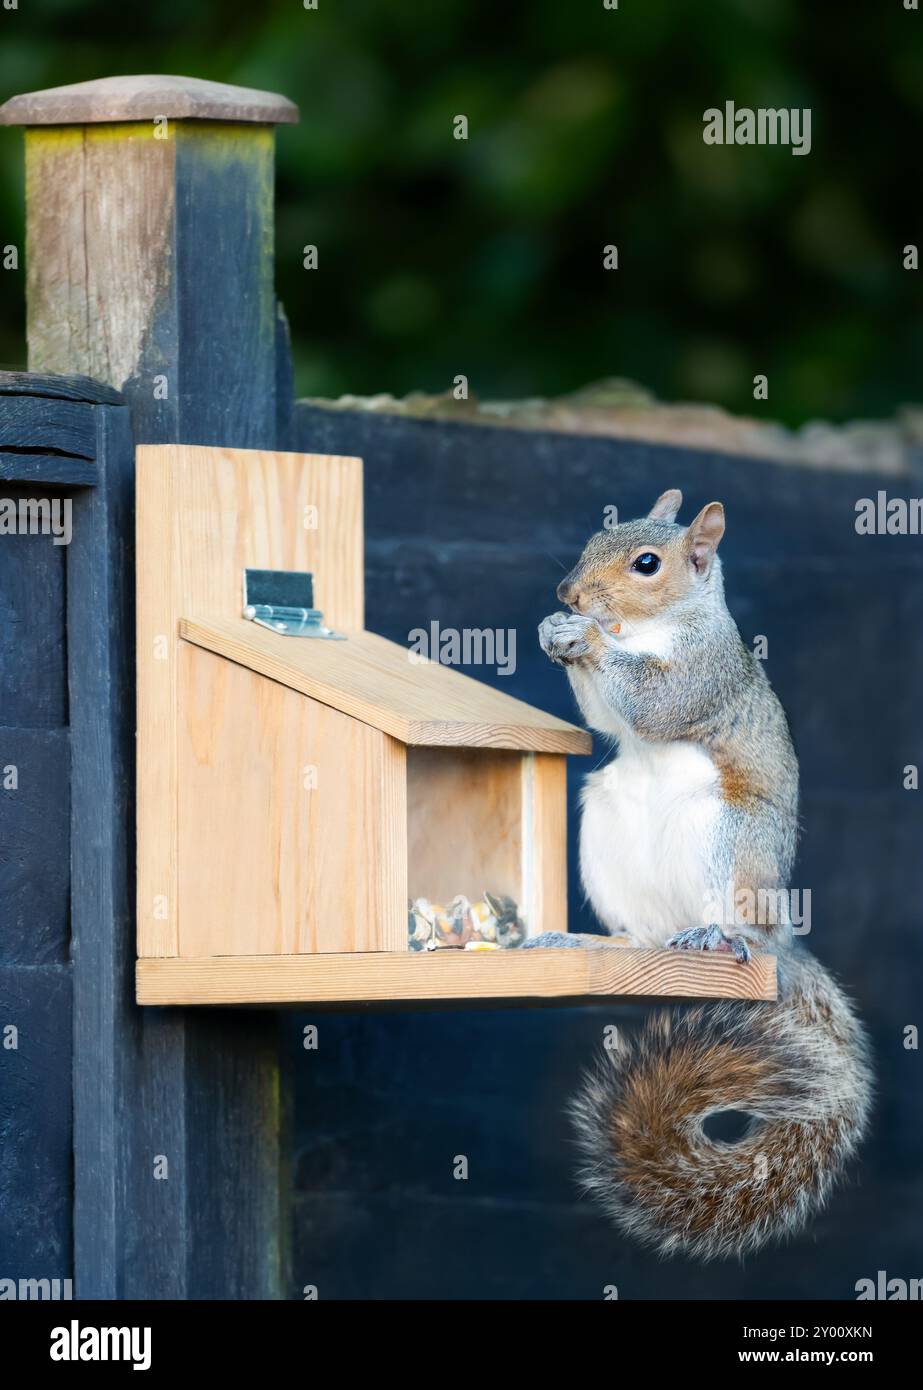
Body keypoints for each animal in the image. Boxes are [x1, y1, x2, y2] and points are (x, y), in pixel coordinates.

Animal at [531, 488, 872, 1260]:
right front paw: (555, 630)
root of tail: (780, 939)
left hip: (726, 836)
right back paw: (596, 943)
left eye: (646, 564)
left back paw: (718, 935)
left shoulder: (701, 672)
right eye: (591, 541)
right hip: (607, 828)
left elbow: (654, 703)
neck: (645, 627)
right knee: (641, 937)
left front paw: (587, 638)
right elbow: (609, 717)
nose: (568, 594)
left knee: (735, 924)